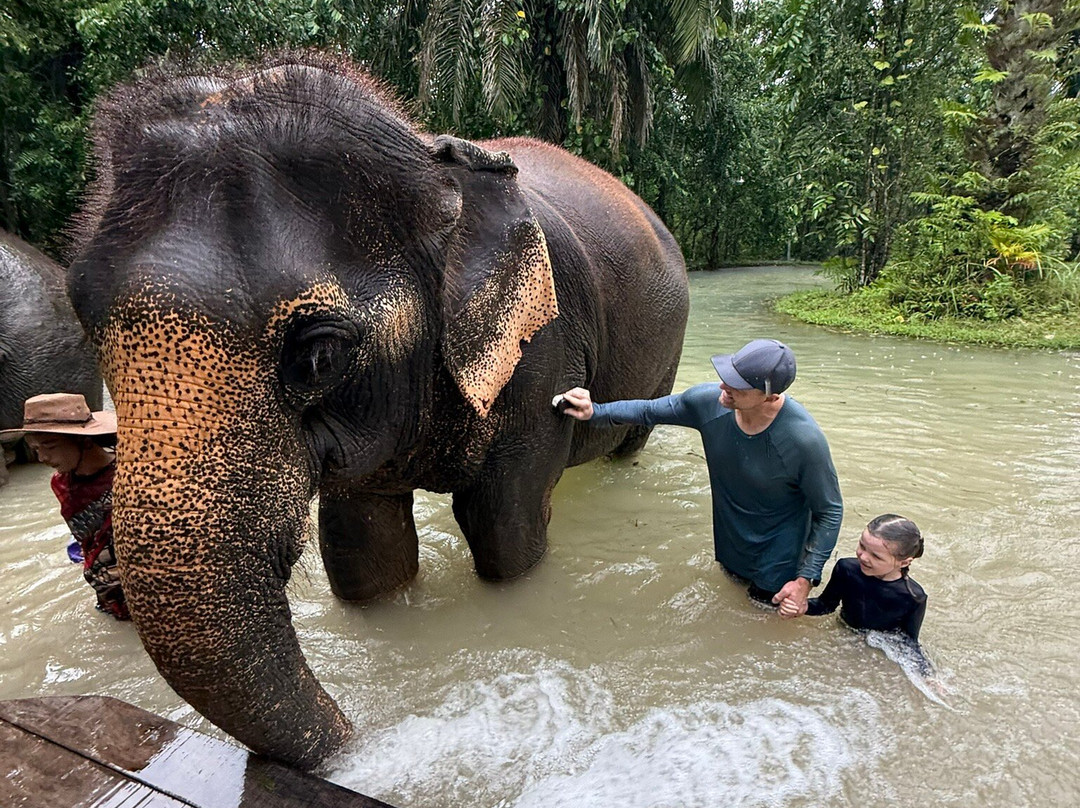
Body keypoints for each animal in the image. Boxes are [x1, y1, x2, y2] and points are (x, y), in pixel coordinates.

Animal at [67, 54, 689, 770]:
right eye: (89, 338)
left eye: (319, 358)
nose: (349, 732)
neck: (427, 157)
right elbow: (362, 547)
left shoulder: (542, 354)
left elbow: (504, 531)